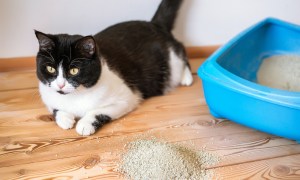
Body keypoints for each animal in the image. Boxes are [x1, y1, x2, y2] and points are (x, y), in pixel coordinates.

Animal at [34, 0, 192, 135]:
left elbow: (97, 111)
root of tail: (154, 23)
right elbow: (55, 108)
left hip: (172, 60)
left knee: (181, 49)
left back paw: (187, 78)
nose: (60, 85)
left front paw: (84, 124)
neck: (74, 97)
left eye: (74, 70)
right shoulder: (48, 96)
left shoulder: (126, 98)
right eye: (51, 69)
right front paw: (65, 119)